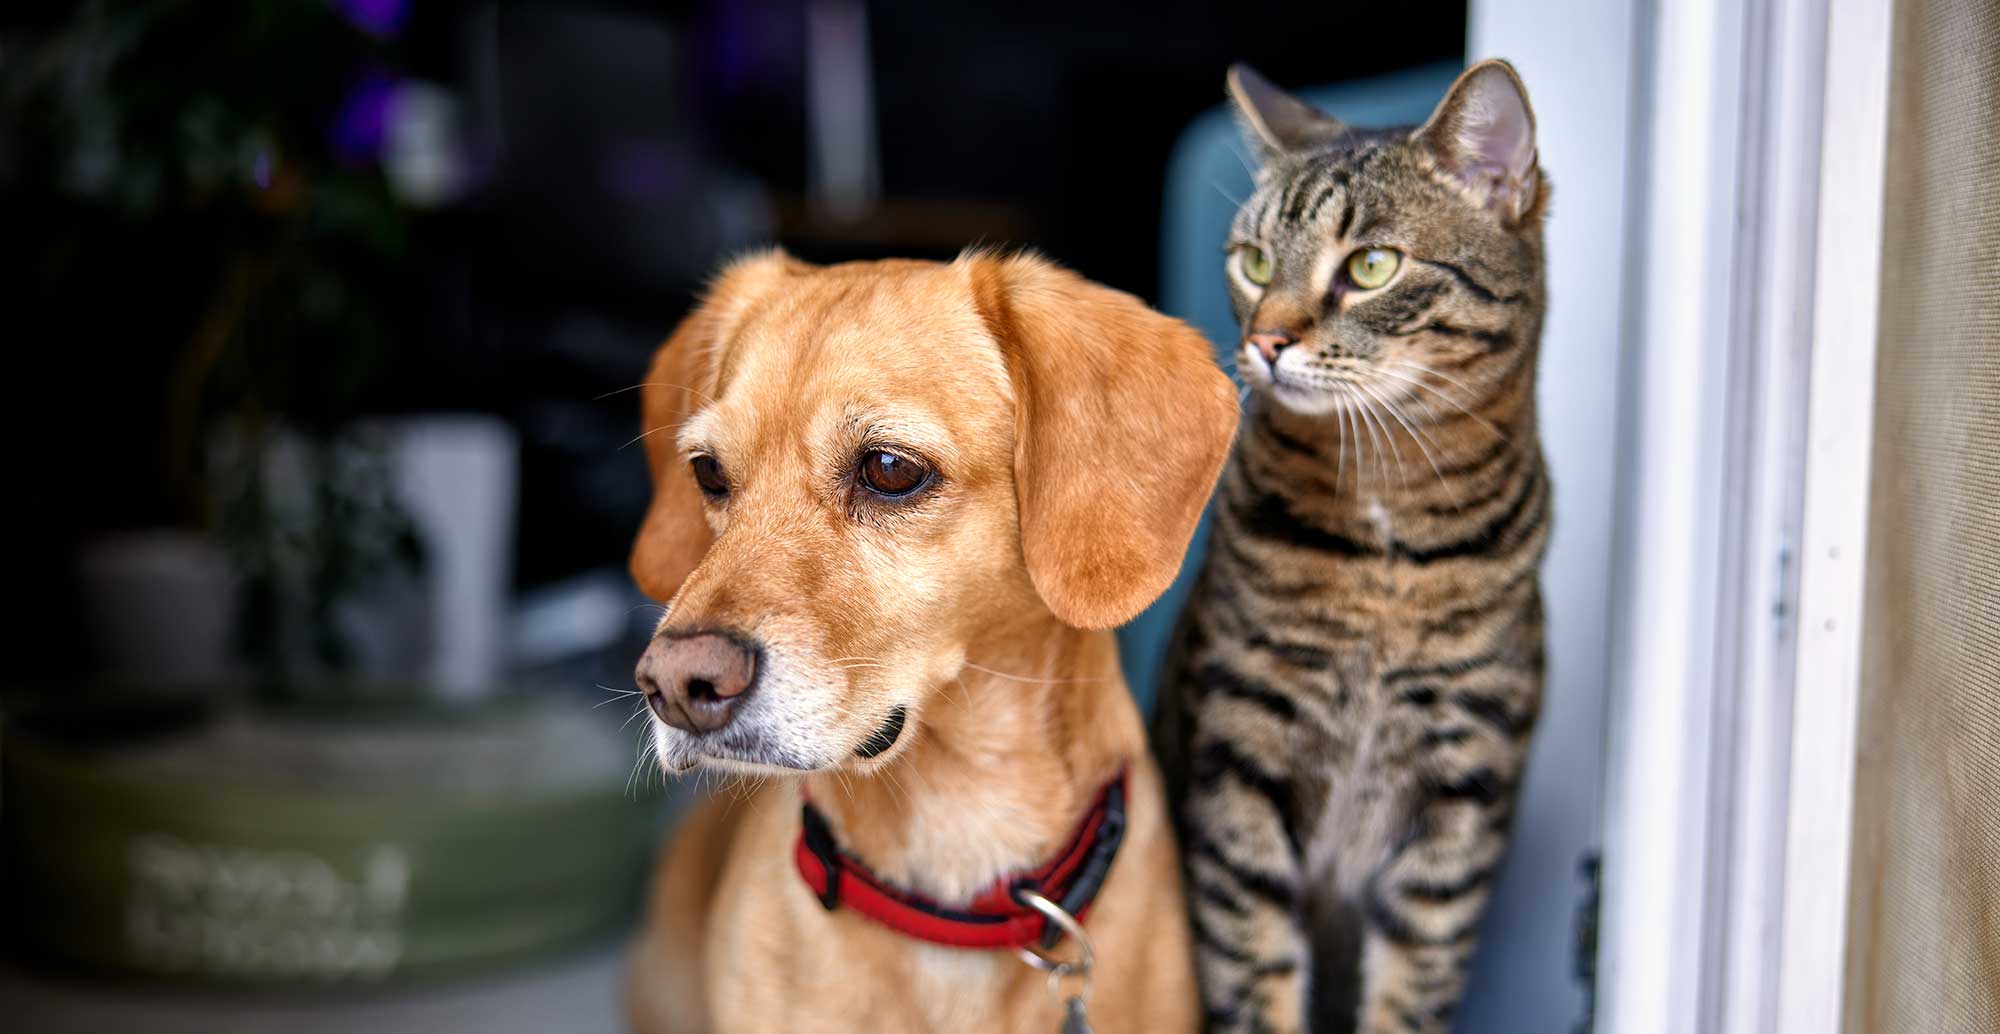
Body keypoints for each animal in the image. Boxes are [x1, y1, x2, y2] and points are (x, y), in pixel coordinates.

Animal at [1152, 58, 1552, 1032]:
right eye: (1255, 262)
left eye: (1371, 266)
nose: (1265, 339)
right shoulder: (1240, 758)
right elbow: (1253, 969)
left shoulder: (1461, 790)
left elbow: (1414, 984)